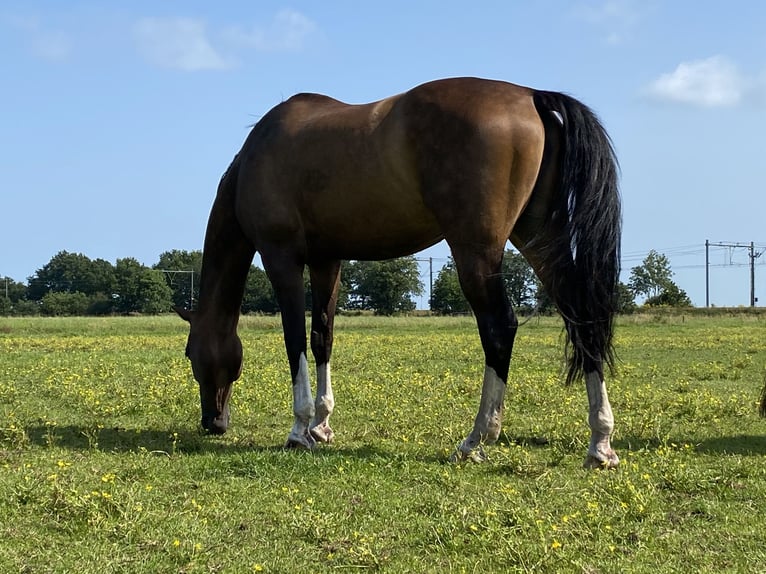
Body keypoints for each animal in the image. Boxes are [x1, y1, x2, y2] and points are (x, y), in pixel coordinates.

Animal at [176, 76, 624, 470]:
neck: (258, 157)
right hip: (537, 236)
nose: (212, 422)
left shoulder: (281, 258)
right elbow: (322, 338)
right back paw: (600, 443)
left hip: (478, 251)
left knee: (500, 327)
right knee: (580, 316)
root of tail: (530, 96)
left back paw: (476, 439)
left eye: (190, 352)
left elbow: (294, 341)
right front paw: (322, 424)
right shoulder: (327, 261)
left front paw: (300, 429)